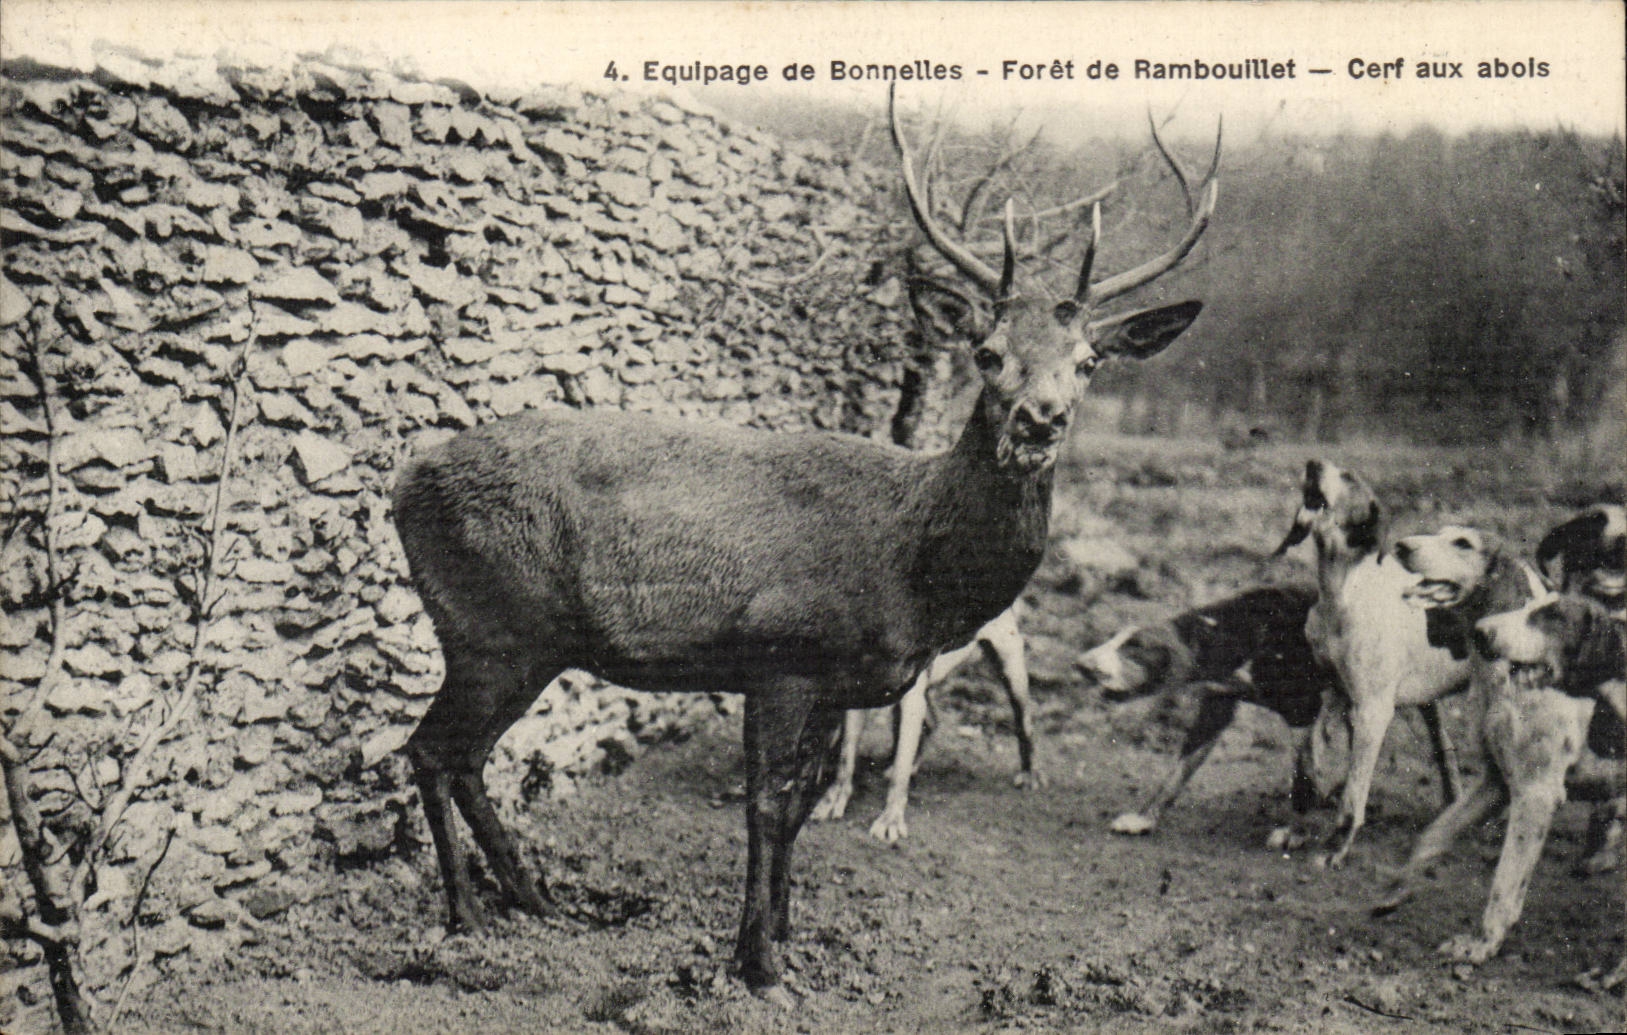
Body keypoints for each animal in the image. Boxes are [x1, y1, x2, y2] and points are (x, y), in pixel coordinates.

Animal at [389, 85, 1219, 1004]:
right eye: (987, 351)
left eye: (1087, 361)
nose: (1040, 420)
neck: (913, 569)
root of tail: (401, 482)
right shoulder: (778, 653)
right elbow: (764, 801)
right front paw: (757, 964)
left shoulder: (839, 679)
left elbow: (803, 801)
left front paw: (786, 935)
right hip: (491, 626)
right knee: (431, 749)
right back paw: (466, 919)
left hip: (523, 642)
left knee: (465, 757)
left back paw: (538, 901)